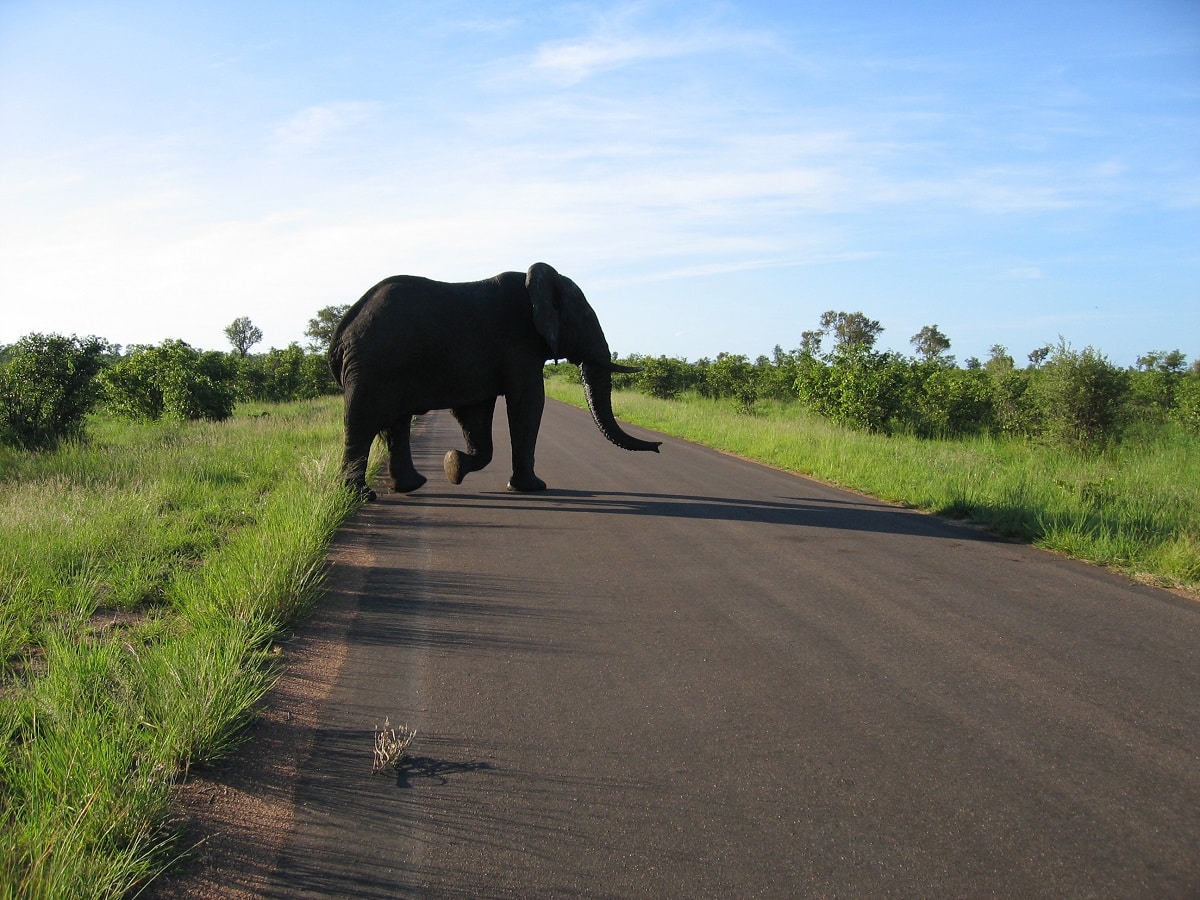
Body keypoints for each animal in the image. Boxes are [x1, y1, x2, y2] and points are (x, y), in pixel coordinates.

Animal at [331, 260, 667, 501]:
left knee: (395, 425)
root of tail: (344, 329)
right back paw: (361, 497)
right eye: (585, 318)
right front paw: (532, 488)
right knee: (362, 424)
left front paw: (453, 466)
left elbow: (475, 414)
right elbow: (528, 402)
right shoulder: (518, 343)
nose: (659, 447)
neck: (536, 282)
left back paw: (410, 486)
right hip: (374, 365)